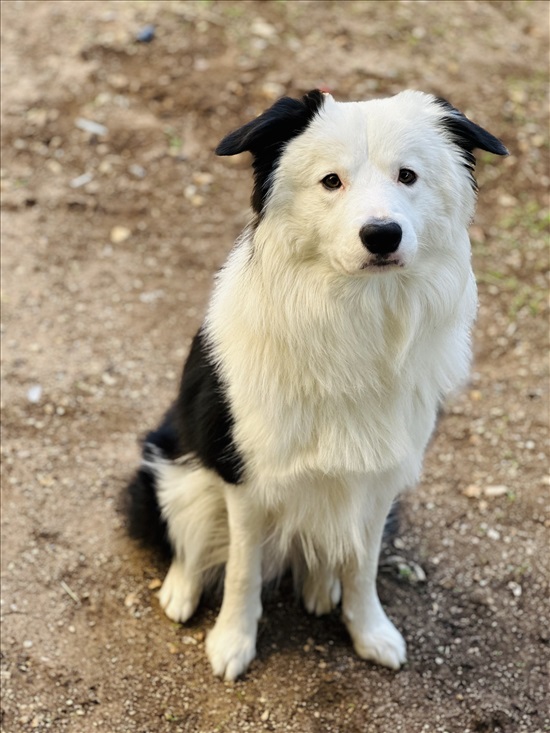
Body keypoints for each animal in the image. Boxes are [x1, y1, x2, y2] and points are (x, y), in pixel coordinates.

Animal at [126, 90, 508, 680]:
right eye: (331, 181)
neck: (353, 316)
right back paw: (180, 592)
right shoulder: (245, 476)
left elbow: (362, 565)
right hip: (174, 465)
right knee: (185, 537)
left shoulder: (380, 478)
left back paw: (319, 587)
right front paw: (232, 641)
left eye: (407, 175)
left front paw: (369, 630)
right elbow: (241, 569)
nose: (382, 234)